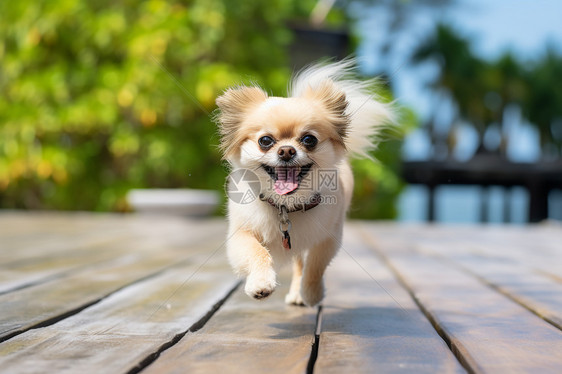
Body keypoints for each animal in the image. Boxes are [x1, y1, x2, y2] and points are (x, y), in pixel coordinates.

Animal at [212, 59, 392, 306]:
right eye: (265, 141)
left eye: (309, 140)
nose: (286, 151)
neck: (285, 206)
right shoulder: (241, 234)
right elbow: (256, 252)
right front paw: (260, 284)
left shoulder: (328, 237)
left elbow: (315, 265)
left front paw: (311, 293)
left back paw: (300, 293)